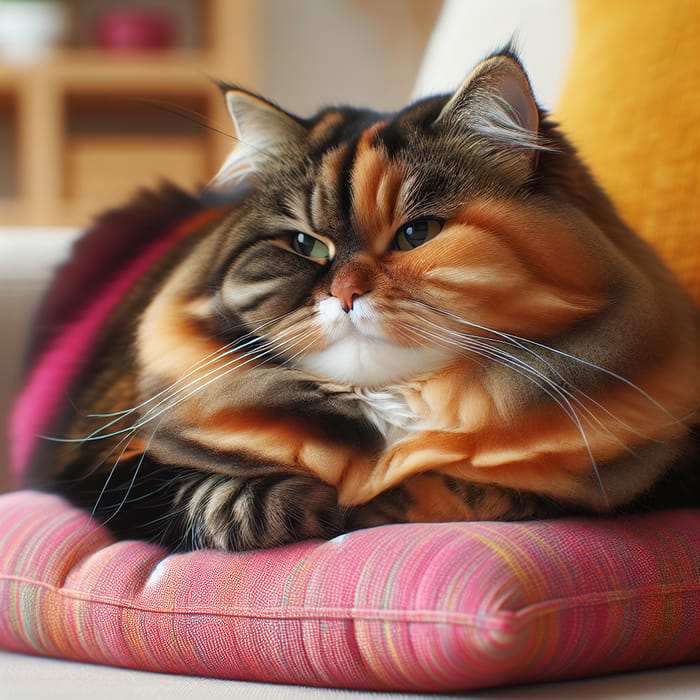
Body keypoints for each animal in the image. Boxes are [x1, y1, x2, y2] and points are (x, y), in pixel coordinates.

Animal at [9, 49, 696, 552]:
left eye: (417, 234)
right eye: (305, 245)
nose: (344, 294)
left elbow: (503, 491)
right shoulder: (105, 472)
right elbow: (229, 494)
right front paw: (331, 505)